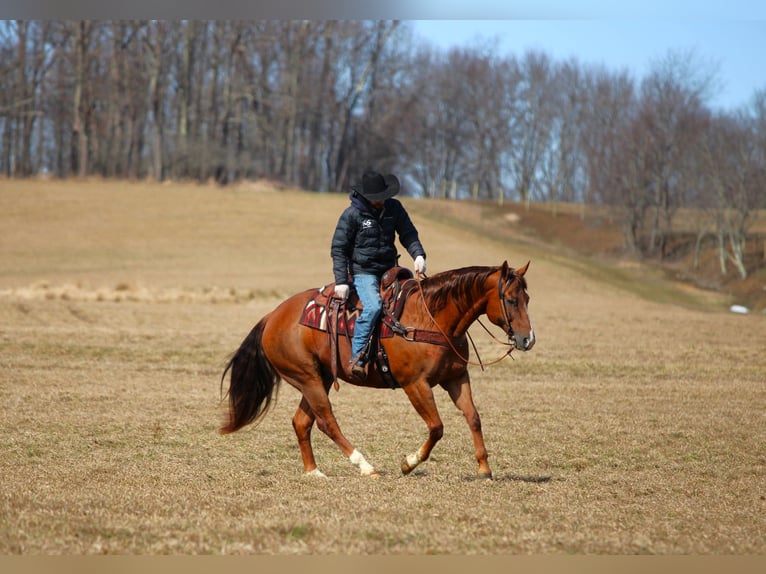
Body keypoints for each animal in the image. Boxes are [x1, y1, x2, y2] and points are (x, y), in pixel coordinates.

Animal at [219, 260, 534, 479]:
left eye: (527, 299)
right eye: (510, 300)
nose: (527, 339)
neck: (430, 317)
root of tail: (273, 315)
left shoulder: (456, 378)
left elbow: (473, 418)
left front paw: (484, 468)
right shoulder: (415, 384)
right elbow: (436, 427)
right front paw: (408, 463)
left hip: (319, 377)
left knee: (302, 422)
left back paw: (314, 471)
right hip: (306, 378)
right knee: (326, 421)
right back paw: (366, 466)